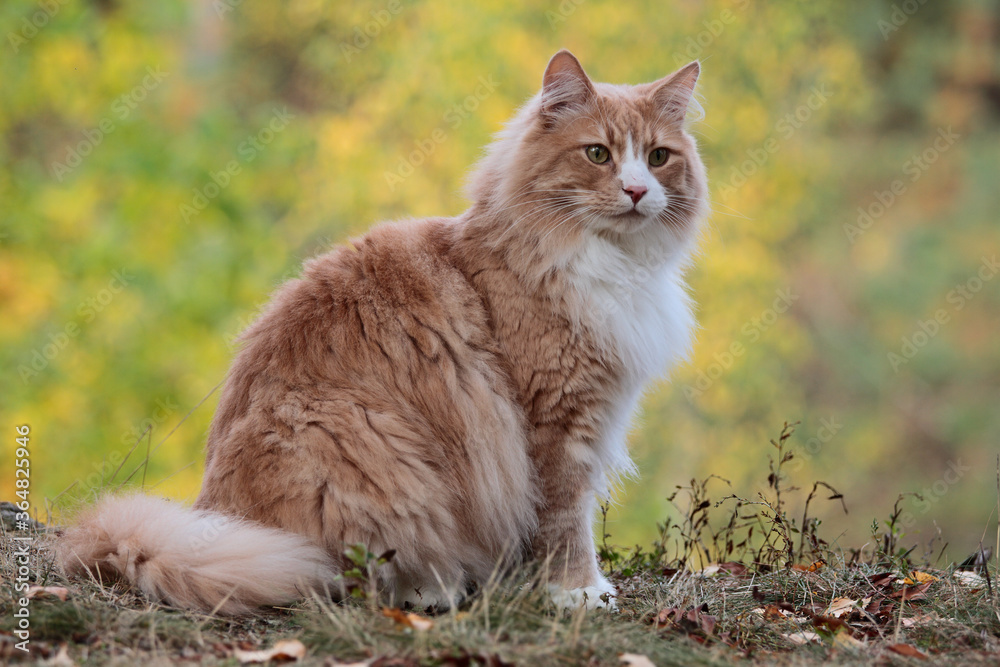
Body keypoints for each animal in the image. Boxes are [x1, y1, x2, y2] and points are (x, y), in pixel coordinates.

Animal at [56, 51, 712, 616]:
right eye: (598, 154)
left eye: (658, 157)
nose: (636, 191)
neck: (606, 261)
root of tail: (208, 516)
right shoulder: (556, 419)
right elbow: (565, 519)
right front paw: (576, 591)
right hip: (357, 437)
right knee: (342, 577)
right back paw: (434, 590)